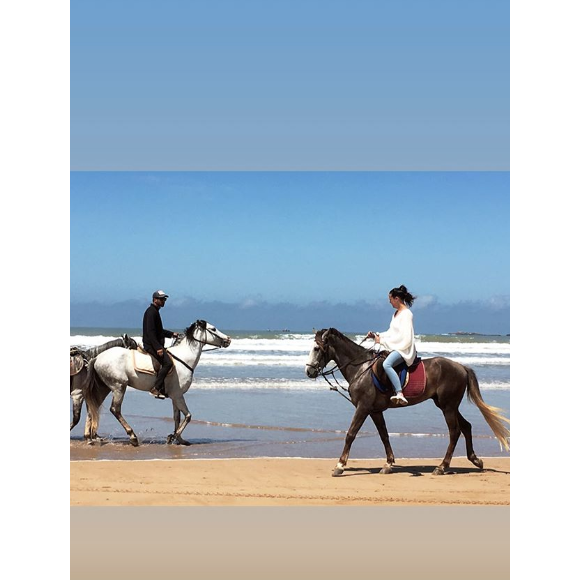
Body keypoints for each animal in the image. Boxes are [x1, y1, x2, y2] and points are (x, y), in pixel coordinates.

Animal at [85, 320, 230, 446]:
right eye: (213, 329)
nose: (228, 339)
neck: (184, 359)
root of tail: (97, 357)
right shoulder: (178, 395)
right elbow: (188, 416)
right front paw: (173, 436)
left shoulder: (175, 396)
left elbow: (177, 417)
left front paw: (179, 439)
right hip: (119, 387)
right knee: (115, 409)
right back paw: (132, 437)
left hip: (104, 388)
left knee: (93, 407)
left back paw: (90, 438)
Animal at [306, 328, 510, 478]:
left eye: (317, 348)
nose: (309, 371)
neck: (361, 368)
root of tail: (461, 367)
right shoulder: (375, 411)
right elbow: (384, 435)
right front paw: (388, 464)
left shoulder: (363, 408)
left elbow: (350, 434)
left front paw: (340, 465)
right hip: (447, 405)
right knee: (466, 426)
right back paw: (475, 460)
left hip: (448, 407)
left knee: (455, 431)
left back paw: (442, 467)